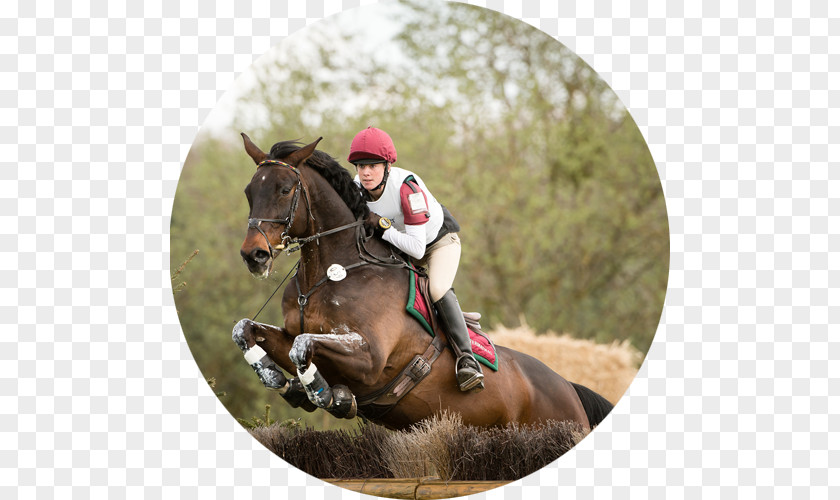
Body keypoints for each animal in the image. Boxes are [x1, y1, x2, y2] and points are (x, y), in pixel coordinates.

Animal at [230, 135, 612, 432]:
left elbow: (303, 346)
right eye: (248, 191)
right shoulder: (295, 334)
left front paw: (328, 395)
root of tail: (568, 387)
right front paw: (279, 379)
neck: (327, 274)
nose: (254, 255)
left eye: (284, 189)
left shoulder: (371, 358)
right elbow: (246, 329)